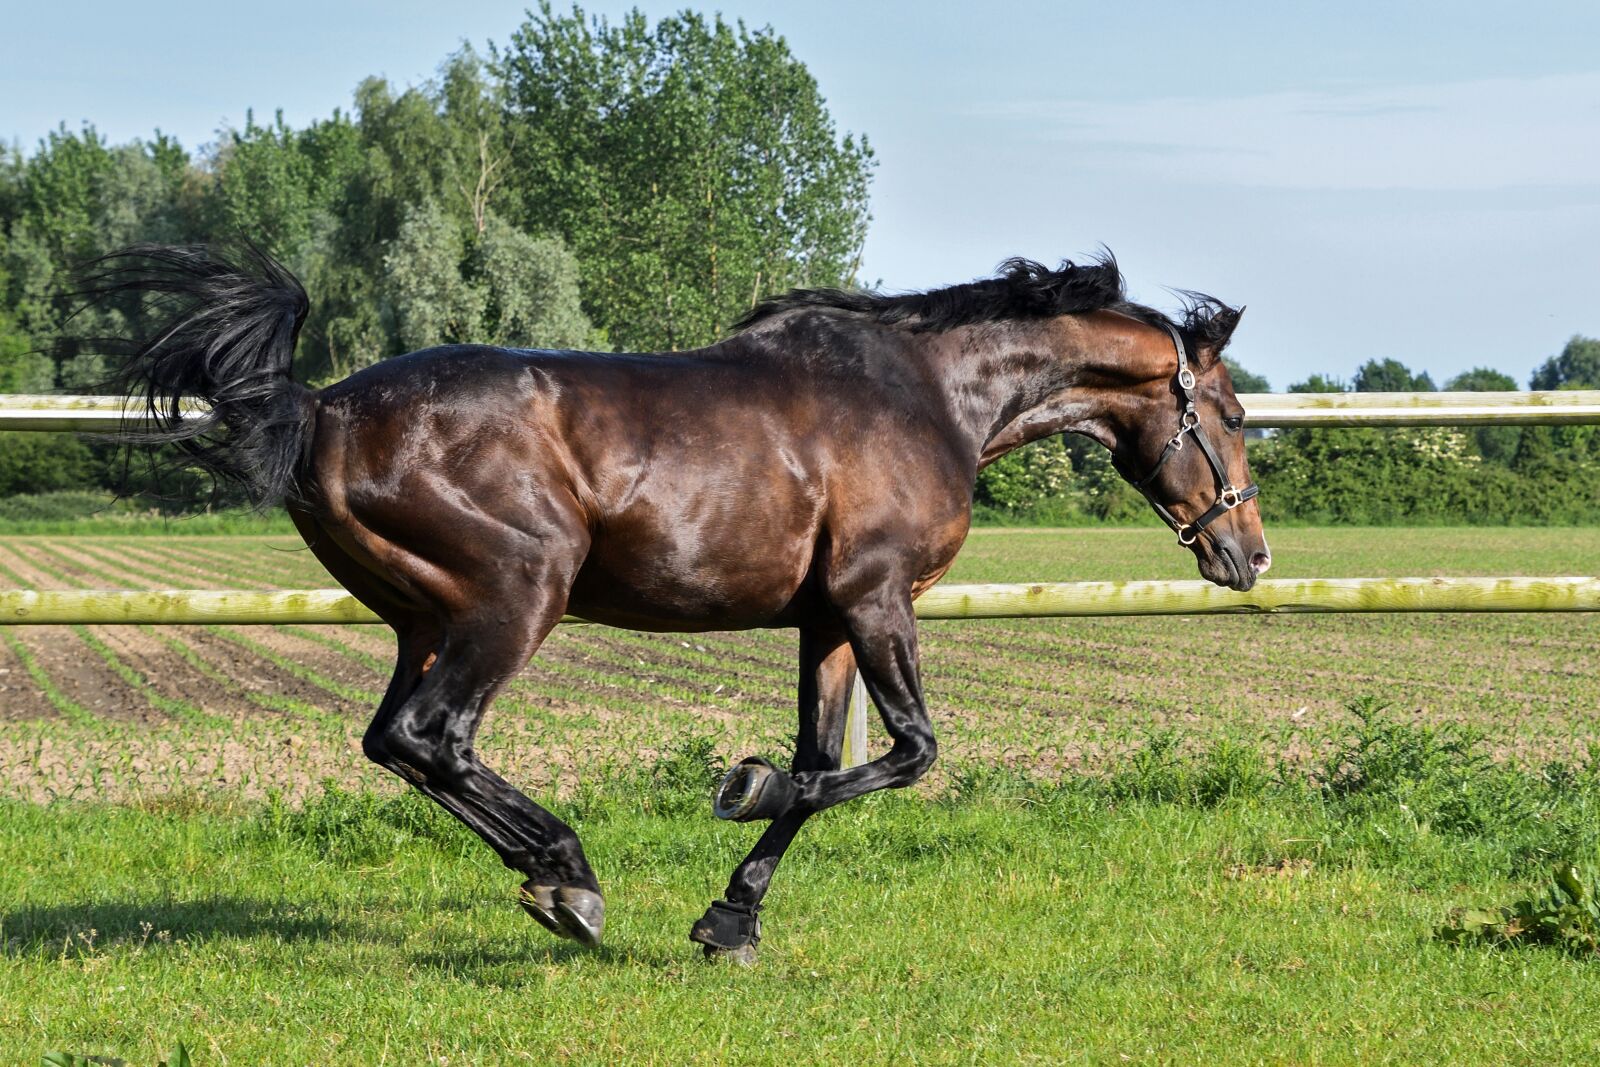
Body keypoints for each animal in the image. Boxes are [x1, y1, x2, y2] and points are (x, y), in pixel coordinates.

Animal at [84, 245, 1270, 962]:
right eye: (1229, 411)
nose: (1248, 552)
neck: (930, 395)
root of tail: (320, 406)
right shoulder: (879, 598)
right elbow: (905, 753)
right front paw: (737, 788)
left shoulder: (827, 619)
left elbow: (822, 765)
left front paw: (730, 917)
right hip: (516, 597)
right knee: (435, 735)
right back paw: (568, 879)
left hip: (423, 619)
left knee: (395, 742)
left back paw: (553, 876)